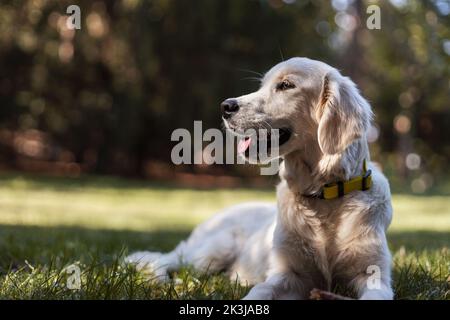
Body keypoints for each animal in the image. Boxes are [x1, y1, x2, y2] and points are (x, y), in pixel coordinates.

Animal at [126, 57, 394, 300]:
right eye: (262, 85)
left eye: (286, 85)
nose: (225, 106)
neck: (322, 196)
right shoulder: (288, 273)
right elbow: (260, 291)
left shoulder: (373, 274)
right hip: (212, 251)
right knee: (162, 261)